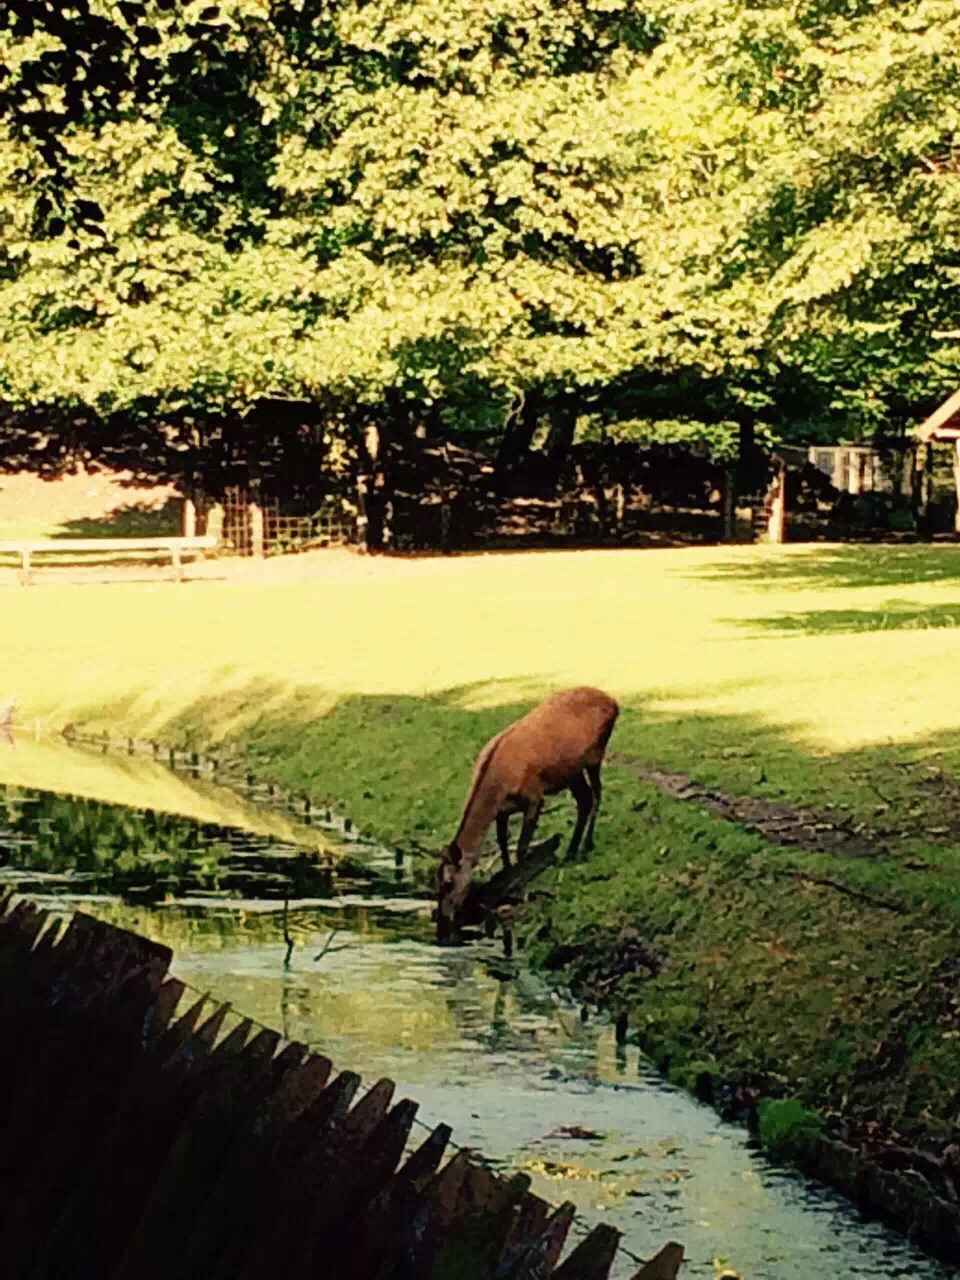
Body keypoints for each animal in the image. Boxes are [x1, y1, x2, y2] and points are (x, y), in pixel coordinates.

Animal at [437, 686, 619, 947]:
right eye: (435, 881)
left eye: (448, 883)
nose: (442, 919)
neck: (499, 785)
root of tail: (614, 702)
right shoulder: (502, 811)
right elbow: (504, 843)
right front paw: (504, 881)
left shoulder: (534, 797)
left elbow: (522, 847)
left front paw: (518, 888)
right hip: (571, 771)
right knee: (584, 800)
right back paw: (570, 852)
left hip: (595, 754)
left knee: (597, 793)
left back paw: (586, 847)